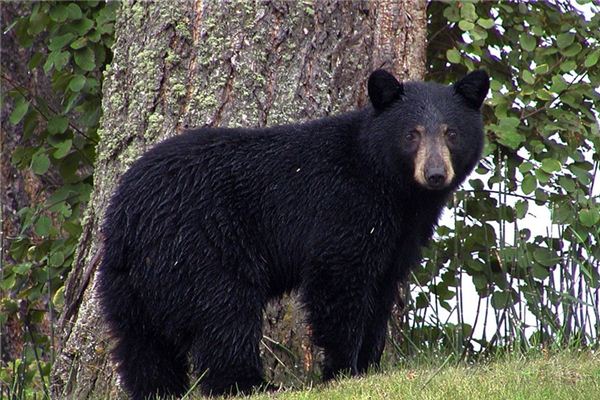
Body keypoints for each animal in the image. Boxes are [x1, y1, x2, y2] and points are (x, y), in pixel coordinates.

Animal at [97, 69, 488, 400]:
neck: (391, 186)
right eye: (412, 134)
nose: (435, 174)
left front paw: (369, 366)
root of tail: (128, 214)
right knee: (224, 313)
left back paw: (158, 390)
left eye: (452, 133)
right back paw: (251, 384)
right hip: (200, 246)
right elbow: (338, 281)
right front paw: (342, 370)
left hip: (128, 280)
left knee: (142, 343)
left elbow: (381, 290)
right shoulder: (344, 207)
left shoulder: (400, 235)